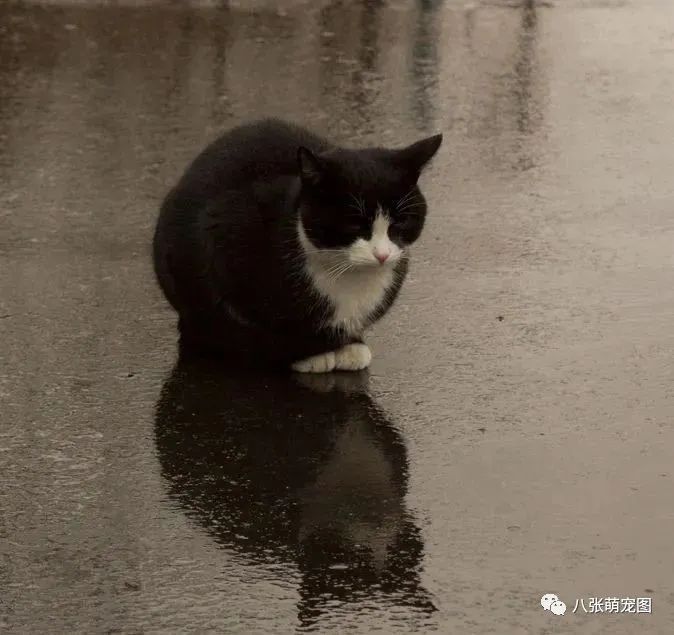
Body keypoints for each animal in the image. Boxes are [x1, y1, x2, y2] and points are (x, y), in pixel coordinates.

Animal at [152, 118, 440, 372]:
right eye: (354, 225)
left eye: (401, 221)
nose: (382, 255)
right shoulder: (220, 232)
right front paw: (313, 355)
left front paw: (350, 345)